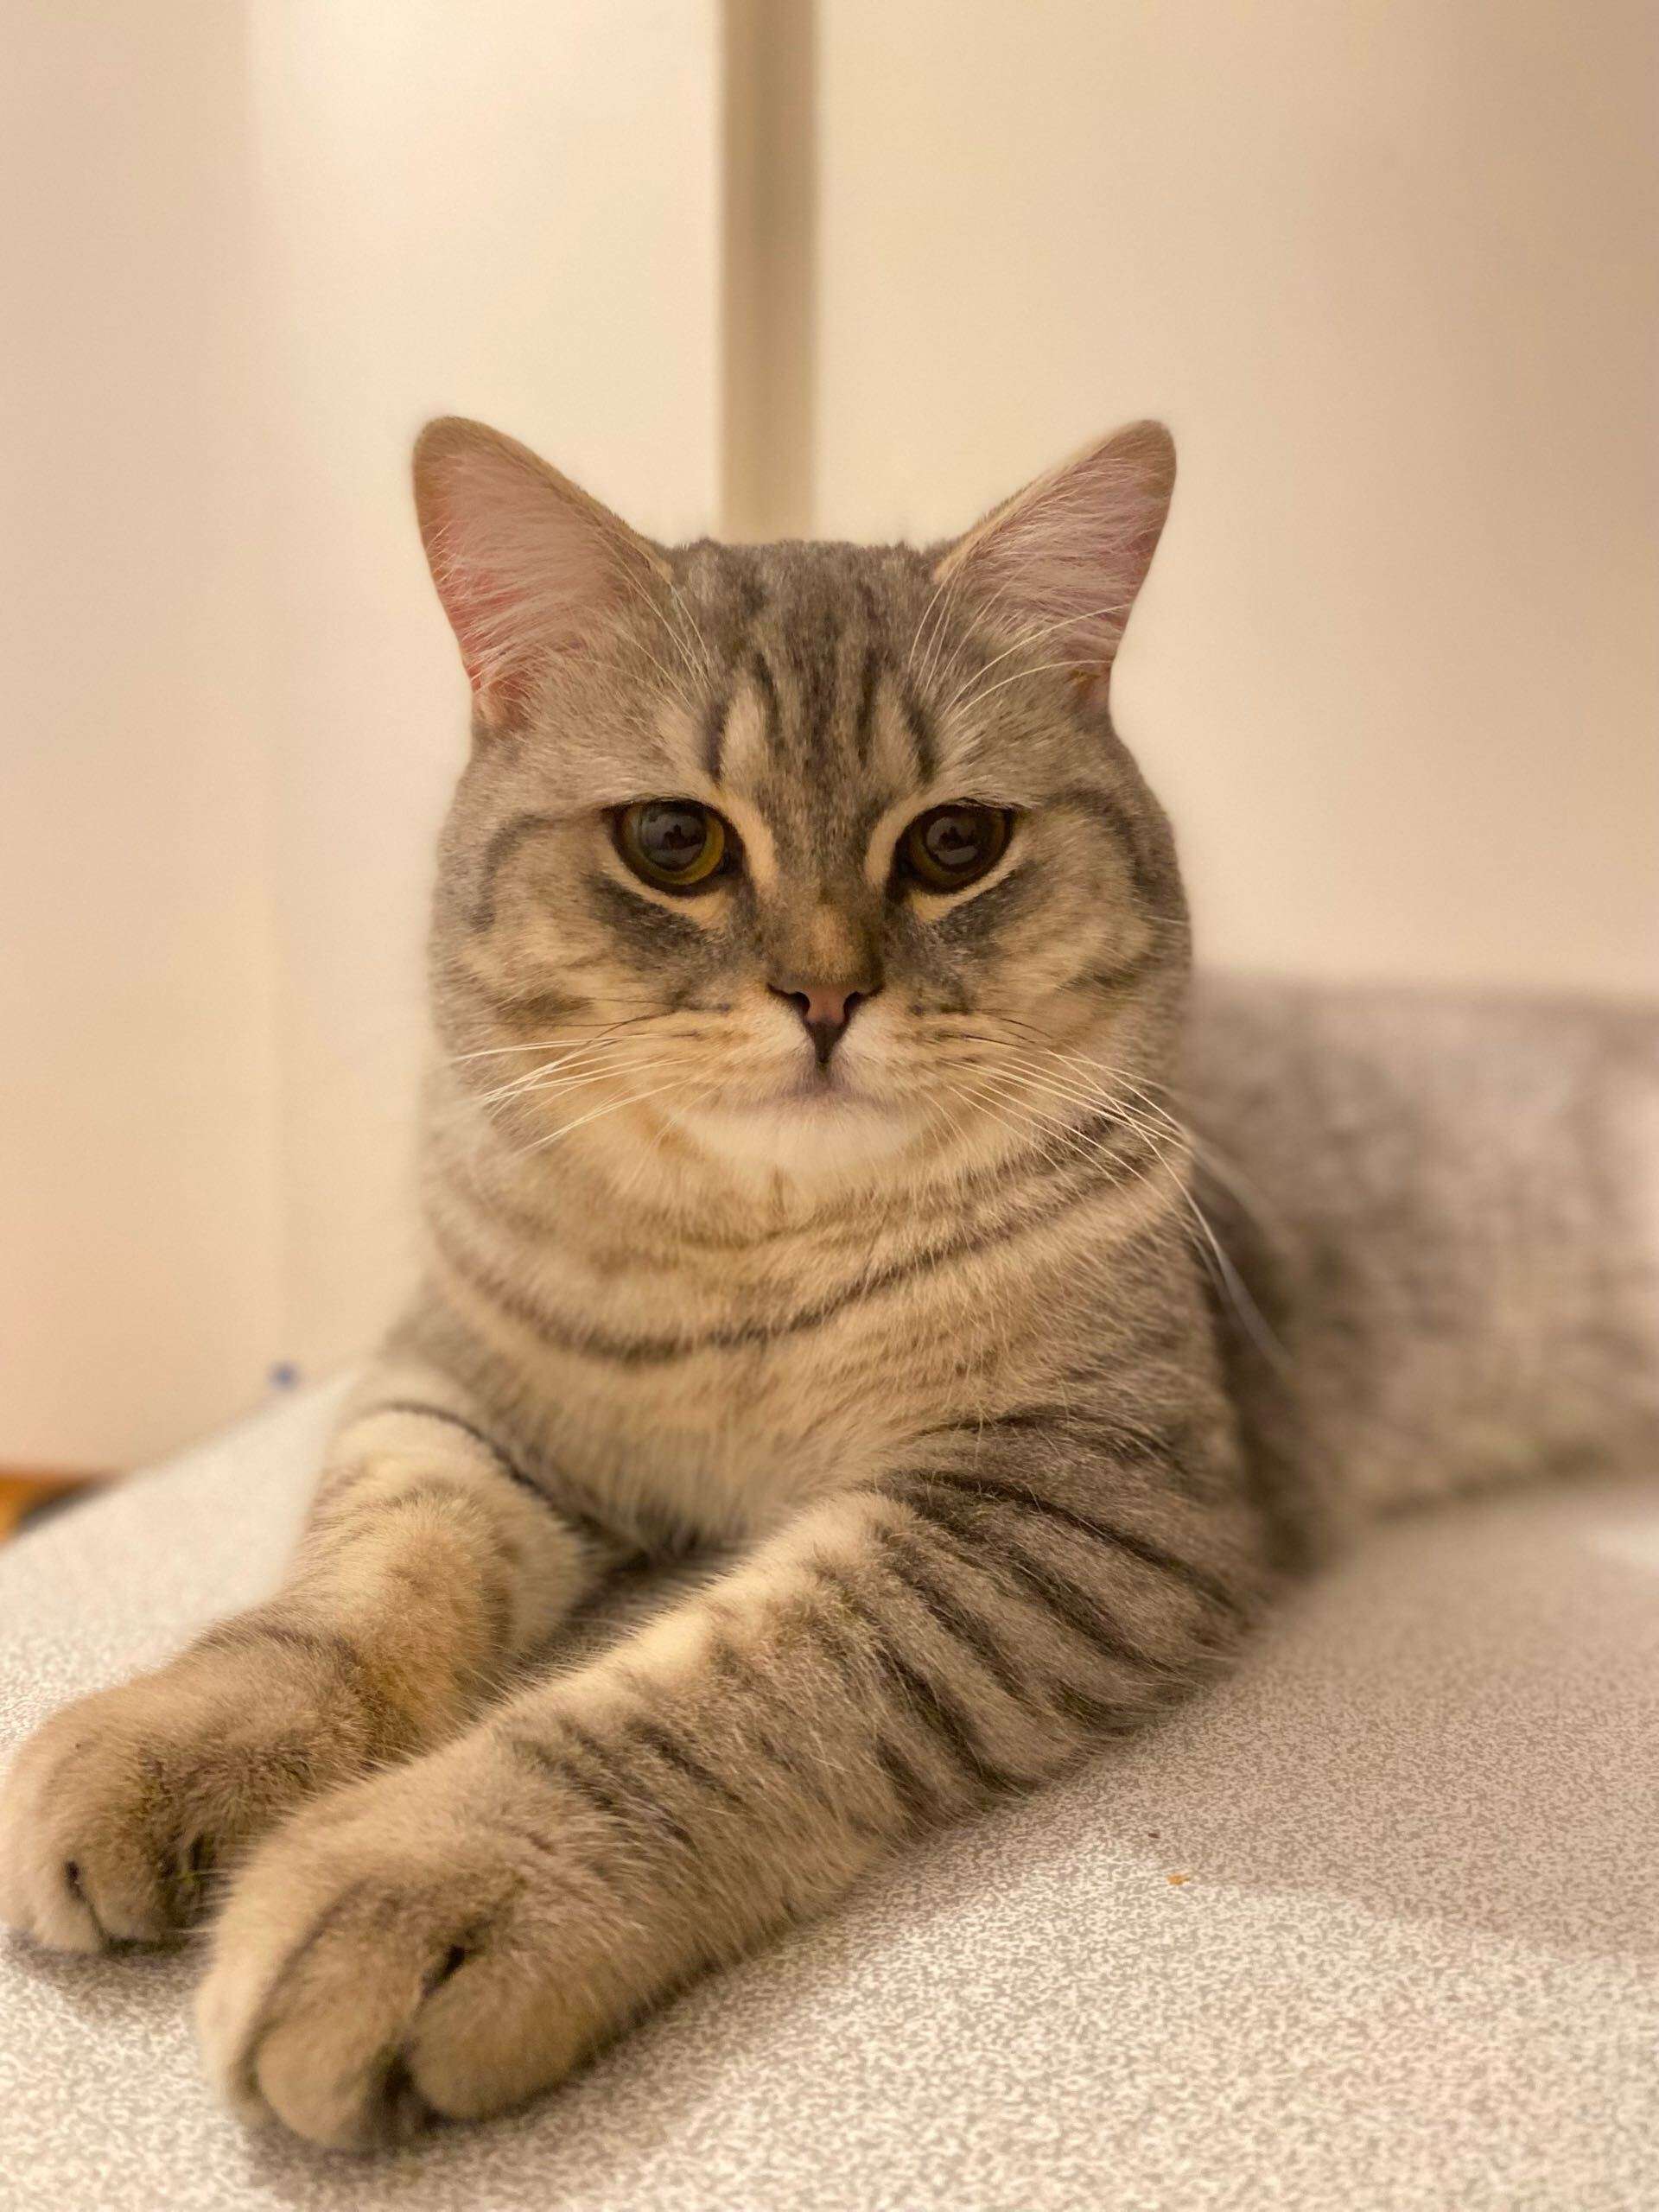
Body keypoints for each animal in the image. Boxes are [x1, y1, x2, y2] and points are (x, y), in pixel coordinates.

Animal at [2, 417, 1654, 2152]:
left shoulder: (1066, 1500)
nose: (824, 995)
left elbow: (713, 1686)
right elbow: (361, 1582)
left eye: (954, 844)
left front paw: (428, 1875)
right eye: (674, 843)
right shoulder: (454, 1392)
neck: (752, 1253)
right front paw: (180, 1741)